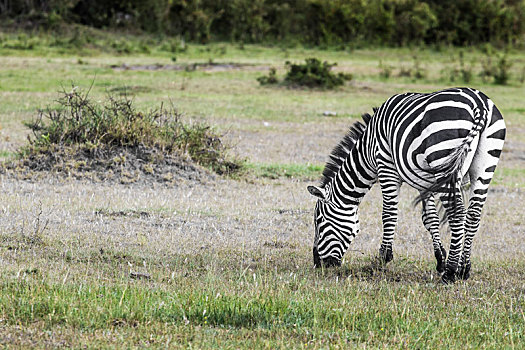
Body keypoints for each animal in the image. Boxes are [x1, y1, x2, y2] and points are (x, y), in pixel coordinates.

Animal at [308, 87, 504, 284]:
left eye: (319, 221)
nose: (317, 264)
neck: (367, 150)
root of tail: (479, 103)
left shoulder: (386, 166)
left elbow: (389, 214)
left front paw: (382, 259)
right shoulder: (424, 181)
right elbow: (430, 218)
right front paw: (440, 259)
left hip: (443, 155)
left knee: (456, 214)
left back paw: (450, 273)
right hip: (484, 164)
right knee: (473, 215)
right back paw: (464, 269)